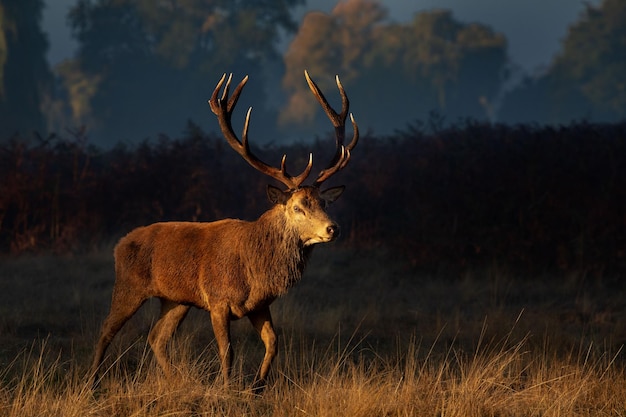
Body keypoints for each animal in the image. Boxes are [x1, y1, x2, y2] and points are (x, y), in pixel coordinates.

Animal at [90, 70, 358, 390]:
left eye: (323, 202)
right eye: (297, 207)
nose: (333, 228)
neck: (256, 270)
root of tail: (120, 243)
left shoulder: (259, 305)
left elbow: (273, 343)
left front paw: (257, 388)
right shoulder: (218, 301)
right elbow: (227, 351)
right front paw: (227, 389)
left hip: (176, 299)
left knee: (157, 337)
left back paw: (177, 381)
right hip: (129, 285)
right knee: (106, 329)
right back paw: (91, 382)